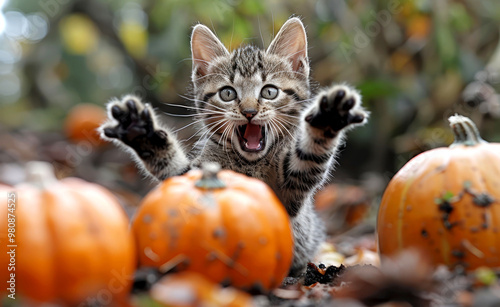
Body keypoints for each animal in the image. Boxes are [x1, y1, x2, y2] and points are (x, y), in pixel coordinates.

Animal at [100, 16, 368, 276]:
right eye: (227, 93)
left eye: (269, 91)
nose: (249, 112)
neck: (250, 164)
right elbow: (176, 172)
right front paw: (143, 133)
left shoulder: (290, 196)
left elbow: (309, 158)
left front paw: (328, 118)